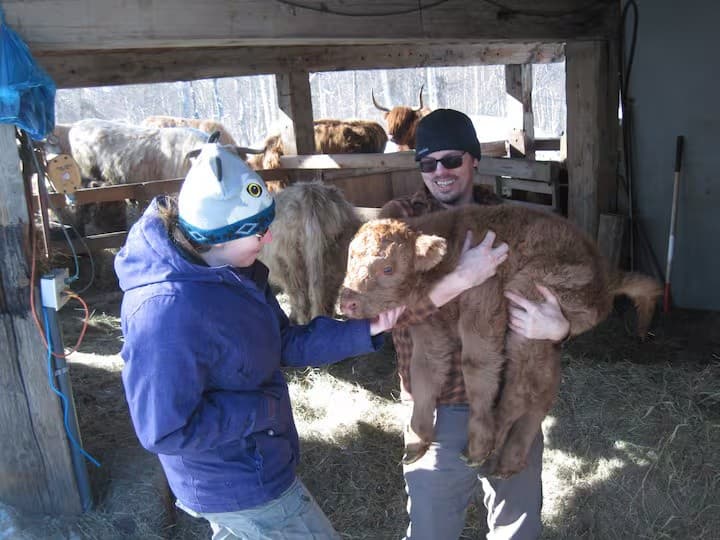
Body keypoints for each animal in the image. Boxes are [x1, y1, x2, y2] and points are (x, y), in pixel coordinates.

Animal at [338, 204, 662, 477]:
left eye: (388, 268)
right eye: (349, 261)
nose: (346, 301)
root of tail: (605, 273)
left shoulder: (482, 310)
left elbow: (477, 368)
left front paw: (479, 439)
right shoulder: (428, 327)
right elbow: (424, 374)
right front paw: (418, 442)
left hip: (527, 302)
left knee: (522, 389)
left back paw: (488, 447)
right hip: (540, 336)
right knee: (543, 389)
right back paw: (509, 462)